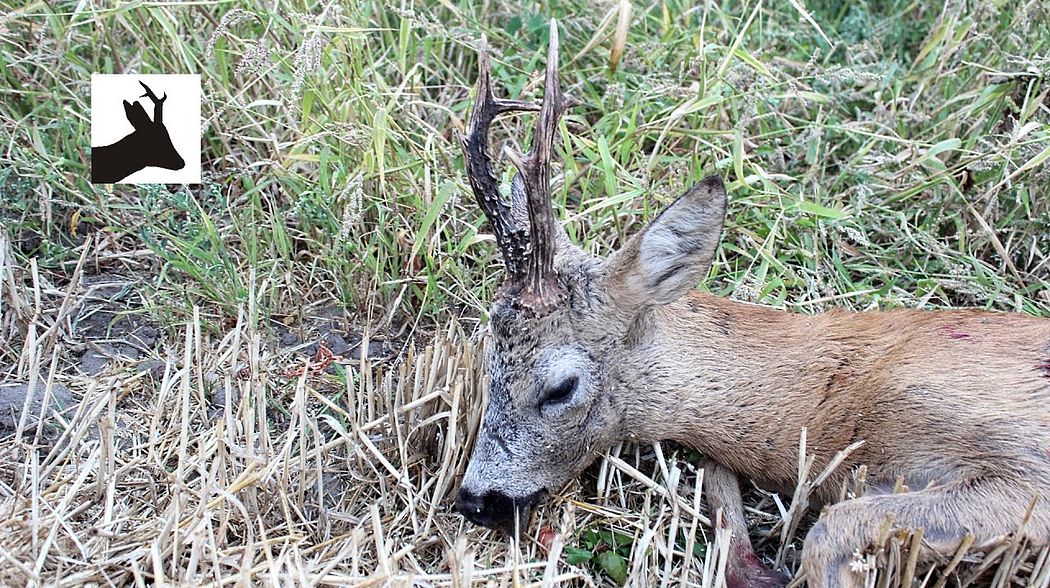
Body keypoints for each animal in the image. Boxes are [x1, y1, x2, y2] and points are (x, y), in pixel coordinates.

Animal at [454, 20, 1050, 588]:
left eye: (560, 388)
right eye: (486, 362)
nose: (473, 500)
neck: (830, 401)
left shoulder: (1024, 459)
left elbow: (828, 532)